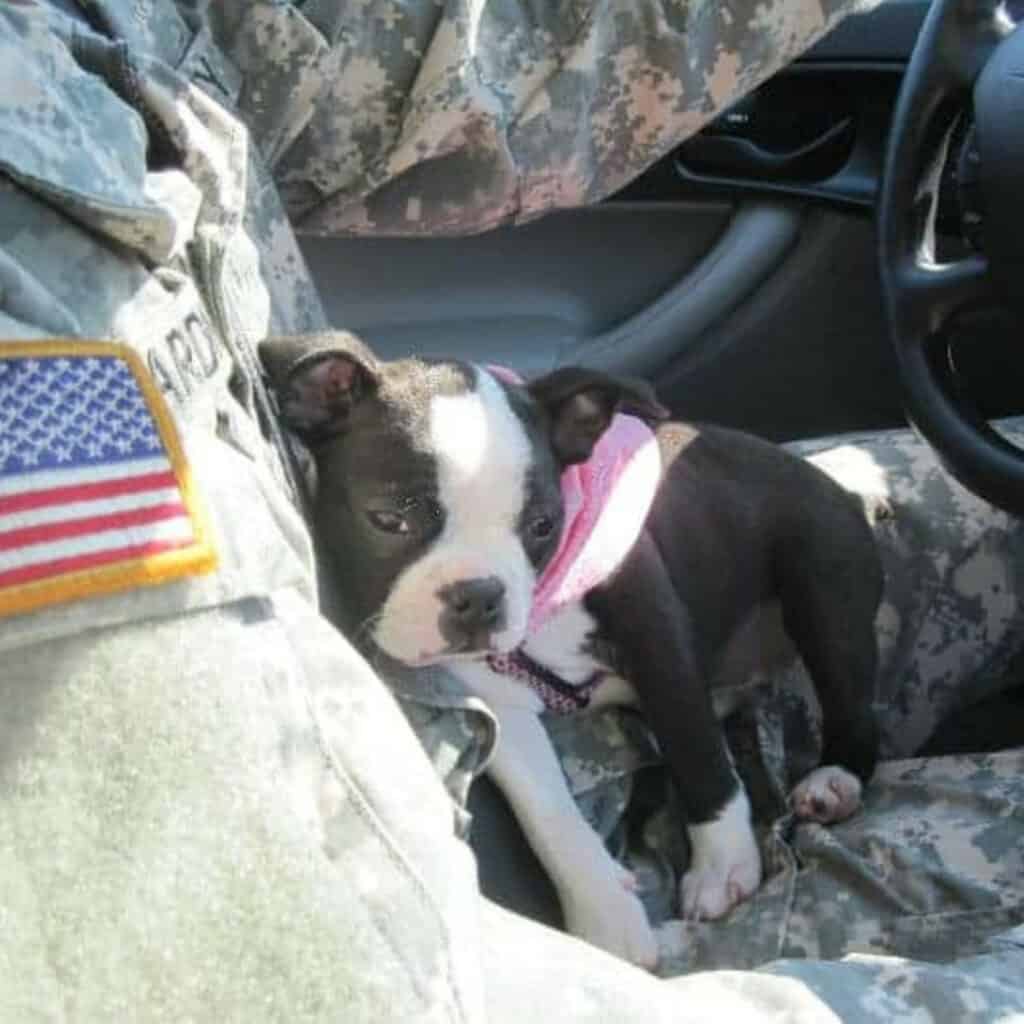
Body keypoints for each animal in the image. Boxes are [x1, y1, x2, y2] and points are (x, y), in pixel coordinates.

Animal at [262, 333, 880, 966]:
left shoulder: (657, 634)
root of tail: (841, 489)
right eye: (389, 519)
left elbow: (694, 746)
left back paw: (833, 783)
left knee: (853, 708)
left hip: (820, 583)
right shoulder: (496, 700)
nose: (479, 596)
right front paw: (605, 913)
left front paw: (722, 863)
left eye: (542, 526)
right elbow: (547, 810)